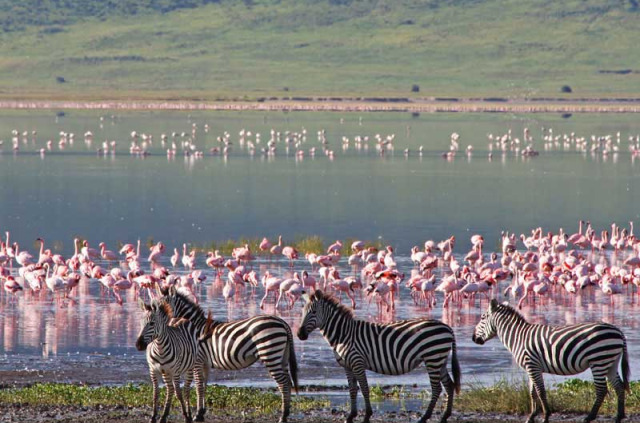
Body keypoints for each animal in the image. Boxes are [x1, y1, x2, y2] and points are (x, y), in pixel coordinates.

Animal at [160, 286, 300, 422]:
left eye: (163, 307)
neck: (193, 329)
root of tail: (283, 323)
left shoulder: (198, 360)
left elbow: (199, 386)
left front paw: (198, 414)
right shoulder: (205, 362)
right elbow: (204, 384)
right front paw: (202, 412)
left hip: (270, 353)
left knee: (283, 383)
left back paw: (282, 416)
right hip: (282, 356)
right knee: (288, 381)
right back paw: (286, 413)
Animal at [298, 290, 462, 423]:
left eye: (313, 312)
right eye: (302, 312)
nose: (299, 334)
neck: (343, 335)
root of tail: (447, 327)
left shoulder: (357, 362)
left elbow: (364, 388)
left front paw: (366, 415)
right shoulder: (347, 366)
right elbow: (352, 390)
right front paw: (351, 416)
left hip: (432, 358)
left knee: (437, 388)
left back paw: (424, 417)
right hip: (439, 360)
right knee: (449, 385)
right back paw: (445, 416)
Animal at [470, 300, 632, 423]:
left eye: (483, 318)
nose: (473, 338)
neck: (518, 337)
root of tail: (618, 331)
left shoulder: (532, 365)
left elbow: (540, 391)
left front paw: (546, 416)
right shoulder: (531, 367)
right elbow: (532, 392)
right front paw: (531, 416)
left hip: (598, 361)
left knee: (602, 390)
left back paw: (589, 417)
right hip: (610, 362)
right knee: (619, 387)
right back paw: (619, 417)